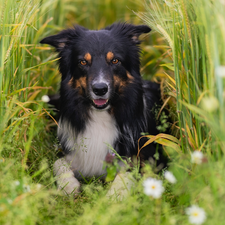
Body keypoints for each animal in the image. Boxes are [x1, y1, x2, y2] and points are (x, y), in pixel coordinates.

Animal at [40, 22, 167, 195]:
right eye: (82, 62)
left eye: (115, 60)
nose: (100, 89)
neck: (101, 115)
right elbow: (58, 163)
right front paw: (69, 185)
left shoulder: (153, 159)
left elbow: (128, 173)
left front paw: (114, 195)